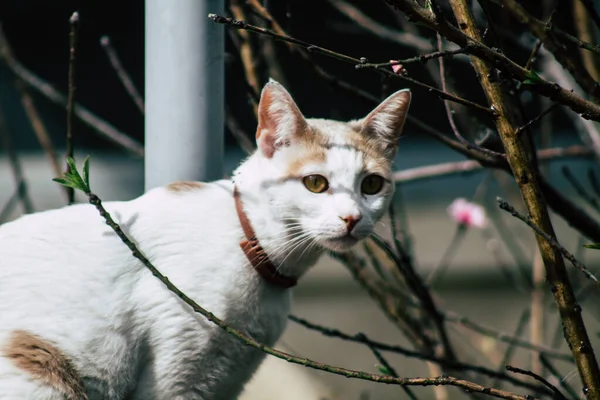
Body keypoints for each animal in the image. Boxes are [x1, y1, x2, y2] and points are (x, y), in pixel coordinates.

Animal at [0, 79, 410, 400]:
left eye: (372, 185)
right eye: (315, 183)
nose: (352, 218)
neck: (252, 248)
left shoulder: (222, 378)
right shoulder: (176, 377)